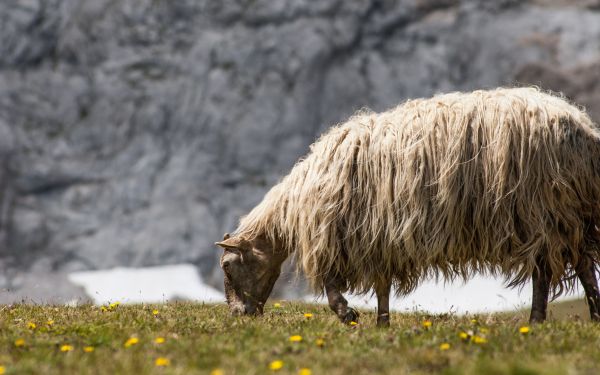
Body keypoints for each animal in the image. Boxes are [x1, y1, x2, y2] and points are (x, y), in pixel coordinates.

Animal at [216, 87, 600, 326]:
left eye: (228, 266)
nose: (237, 315)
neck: (295, 207)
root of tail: (585, 132)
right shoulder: (378, 236)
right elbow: (382, 285)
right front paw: (382, 323)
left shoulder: (340, 234)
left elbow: (330, 284)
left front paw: (347, 315)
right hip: (569, 214)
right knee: (582, 265)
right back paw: (593, 317)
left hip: (542, 209)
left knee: (544, 270)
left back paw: (536, 321)